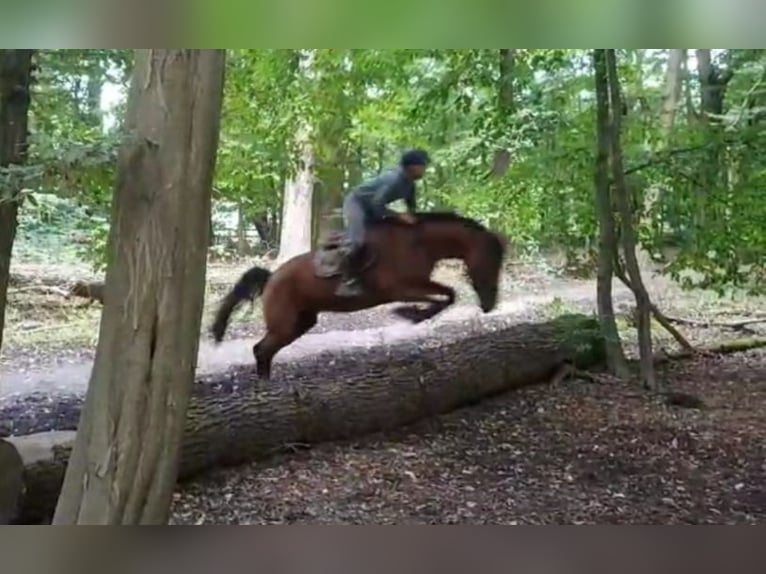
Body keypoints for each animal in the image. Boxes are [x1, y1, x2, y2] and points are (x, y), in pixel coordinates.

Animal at [210, 212, 510, 382]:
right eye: (491, 261)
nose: (489, 304)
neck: (418, 243)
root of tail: (271, 277)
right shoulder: (402, 288)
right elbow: (448, 296)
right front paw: (410, 314)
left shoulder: (418, 284)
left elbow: (449, 294)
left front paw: (414, 314)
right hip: (285, 324)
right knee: (261, 349)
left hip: (301, 322)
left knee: (266, 350)